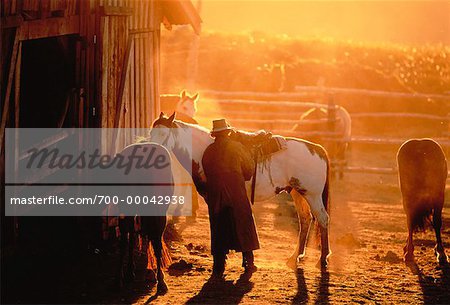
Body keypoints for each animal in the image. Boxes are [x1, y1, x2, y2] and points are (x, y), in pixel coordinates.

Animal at [150, 111, 330, 266]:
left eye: (163, 134)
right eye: (151, 132)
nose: (153, 150)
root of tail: (318, 149)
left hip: (312, 195)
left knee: (322, 219)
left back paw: (322, 259)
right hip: (298, 192)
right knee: (305, 220)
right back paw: (295, 257)